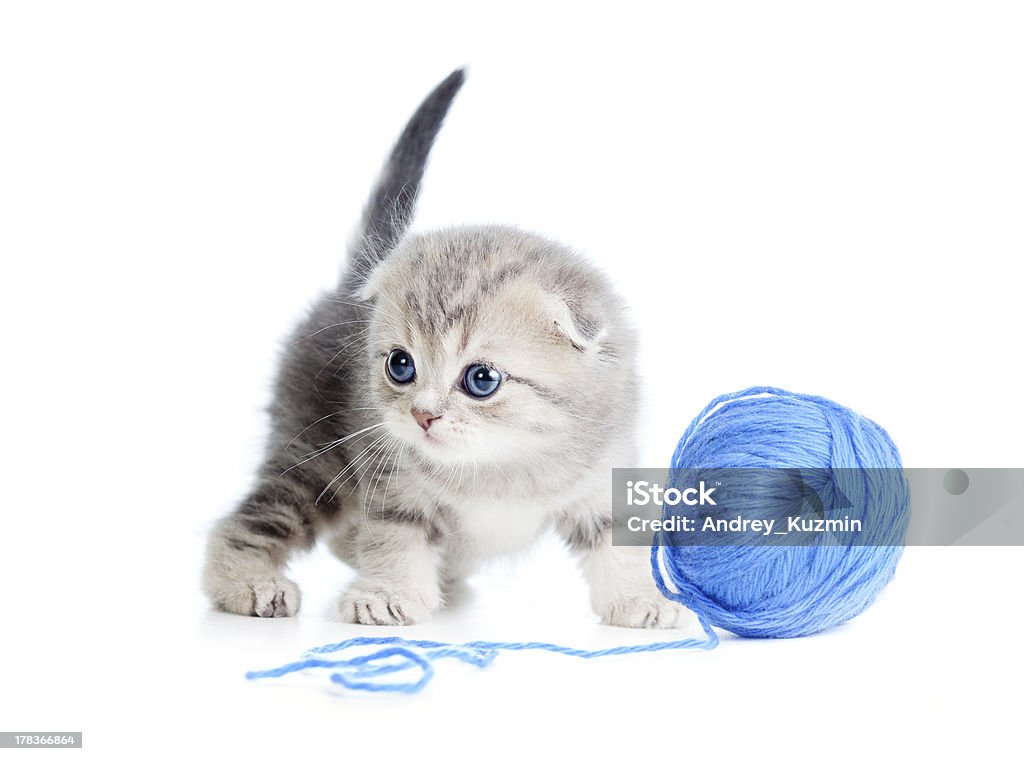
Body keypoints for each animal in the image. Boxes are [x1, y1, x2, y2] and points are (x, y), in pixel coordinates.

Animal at [200, 70, 688, 630]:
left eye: (481, 379)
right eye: (400, 365)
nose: (423, 415)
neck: (500, 461)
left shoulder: (603, 473)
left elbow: (617, 540)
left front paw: (639, 598)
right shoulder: (392, 480)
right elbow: (395, 535)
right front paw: (386, 594)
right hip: (314, 453)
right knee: (254, 519)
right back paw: (247, 583)